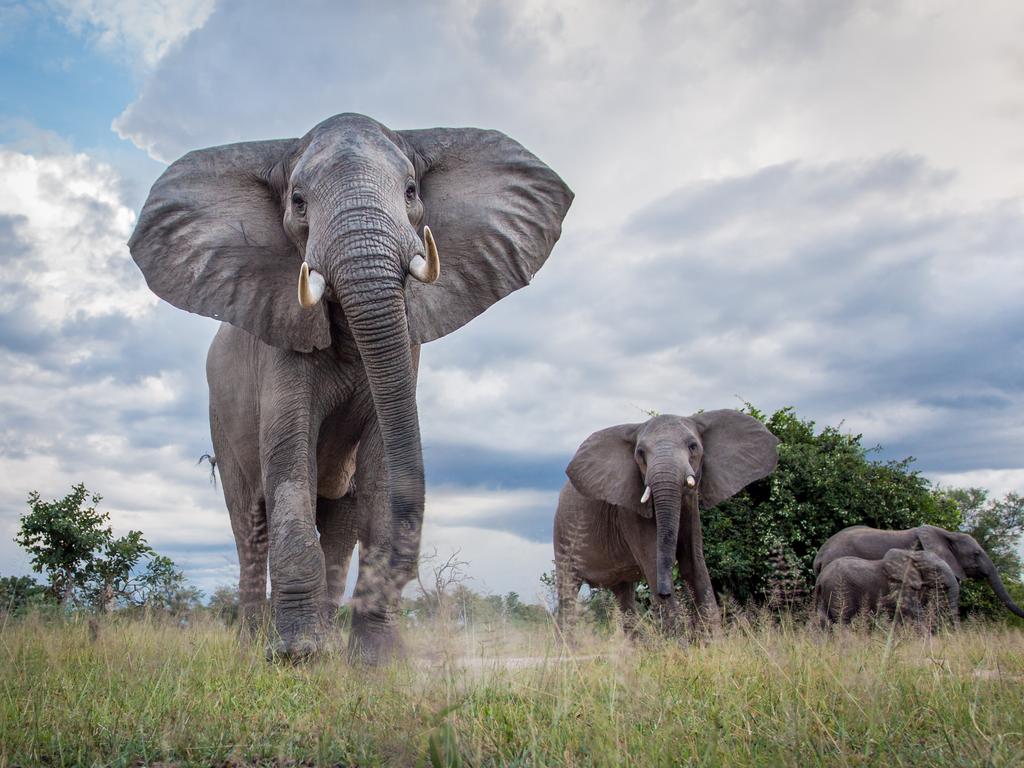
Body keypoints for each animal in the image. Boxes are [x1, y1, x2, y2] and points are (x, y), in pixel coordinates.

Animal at [128, 112, 573, 663]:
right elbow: (289, 456)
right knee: (250, 524)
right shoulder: (281, 334)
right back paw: (255, 648)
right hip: (221, 418)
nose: (407, 572)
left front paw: (376, 663)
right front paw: (294, 657)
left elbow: (382, 462)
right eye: (298, 201)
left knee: (340, 523)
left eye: (411, 191)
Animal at [557, 411, 778, 634]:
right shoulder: (629, 510)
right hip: (562, 536)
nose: (665, 592)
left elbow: (695, 563)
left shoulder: (691, 505)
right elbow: (653, 561)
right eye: (640, 453)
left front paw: (714, 640)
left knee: (624, 594)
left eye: (693, 446)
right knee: (568, 589)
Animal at [811, 548, 954, 626]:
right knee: (843, 619)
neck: (912, 554)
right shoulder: (899, 583)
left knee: (824, 620)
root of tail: (819, 579)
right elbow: (908, 607)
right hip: (837, 589)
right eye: (936, 570)